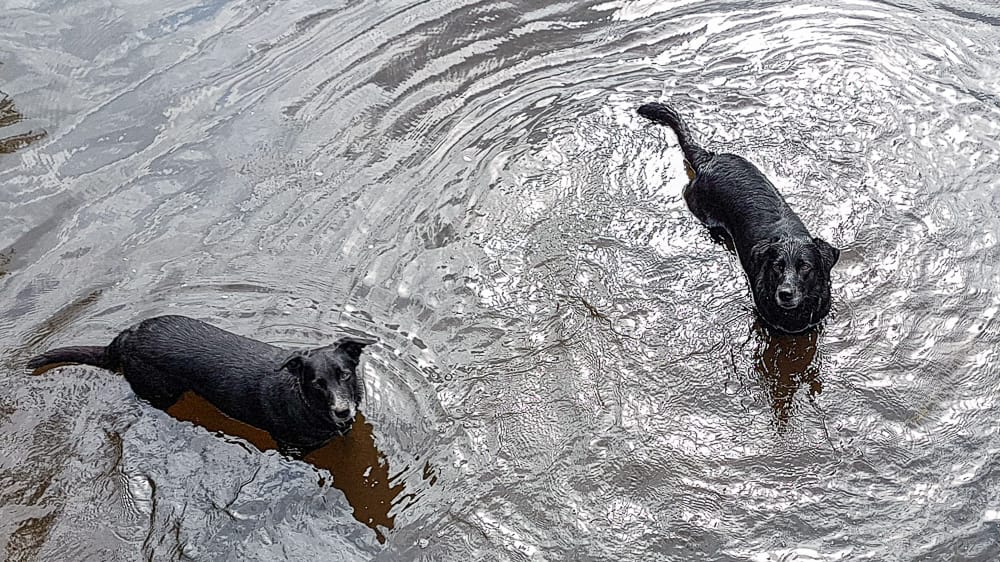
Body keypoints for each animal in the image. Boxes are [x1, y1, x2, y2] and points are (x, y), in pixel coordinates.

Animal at [27, 312, 374, 452]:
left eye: (344, 375)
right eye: (316, 383)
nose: (342, 411)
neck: (309, 405)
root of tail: (127, 335)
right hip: (162, 392)